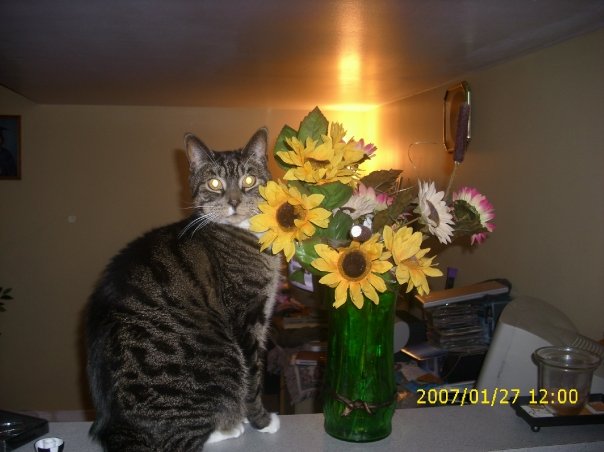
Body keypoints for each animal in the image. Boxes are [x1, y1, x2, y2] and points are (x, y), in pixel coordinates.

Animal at [85, 128, 281, 452]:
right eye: (214, 183)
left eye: (249, 180)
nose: (234, 201)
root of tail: (118, 427)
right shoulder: (247, 315)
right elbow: (254, 377)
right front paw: (263, 421)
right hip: (220, 362)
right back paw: (228, 427)